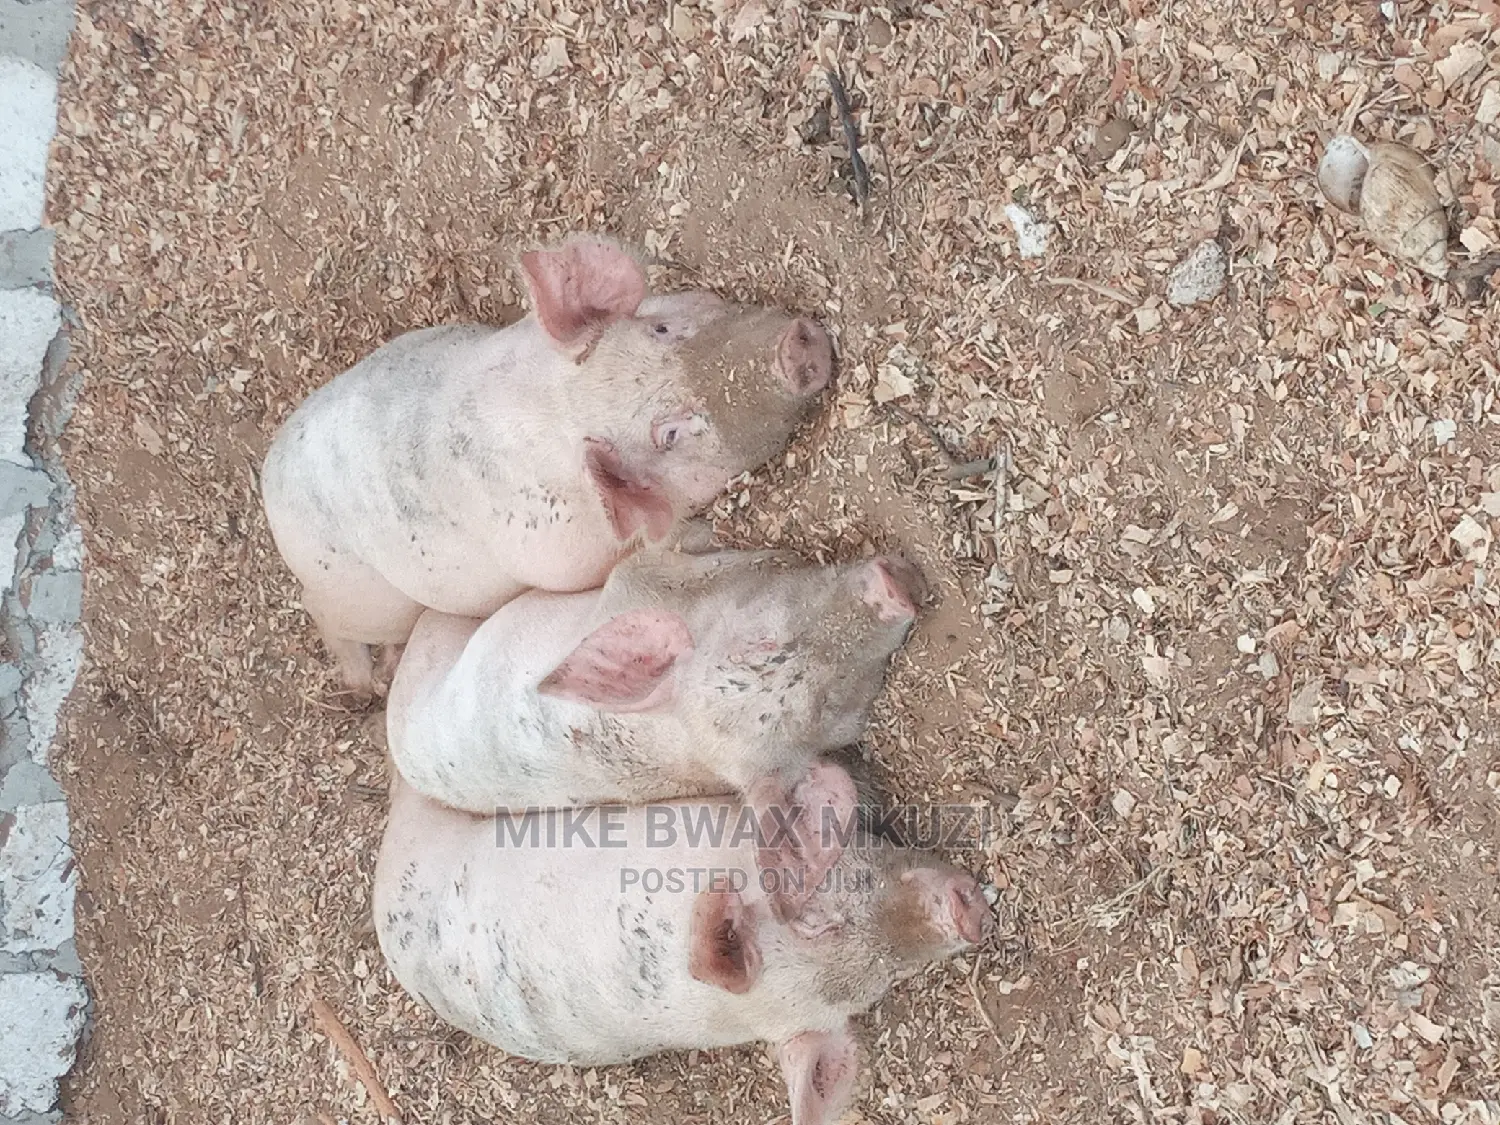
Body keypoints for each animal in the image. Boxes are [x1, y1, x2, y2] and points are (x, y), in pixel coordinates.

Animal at [260, 235, 833, 695]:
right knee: (325, 614)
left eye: (663, 329)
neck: (563, 410)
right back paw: (369, 684)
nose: (792, 348)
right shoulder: (564, 561)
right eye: (668, 434)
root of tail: (268, 481)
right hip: (366, 597)